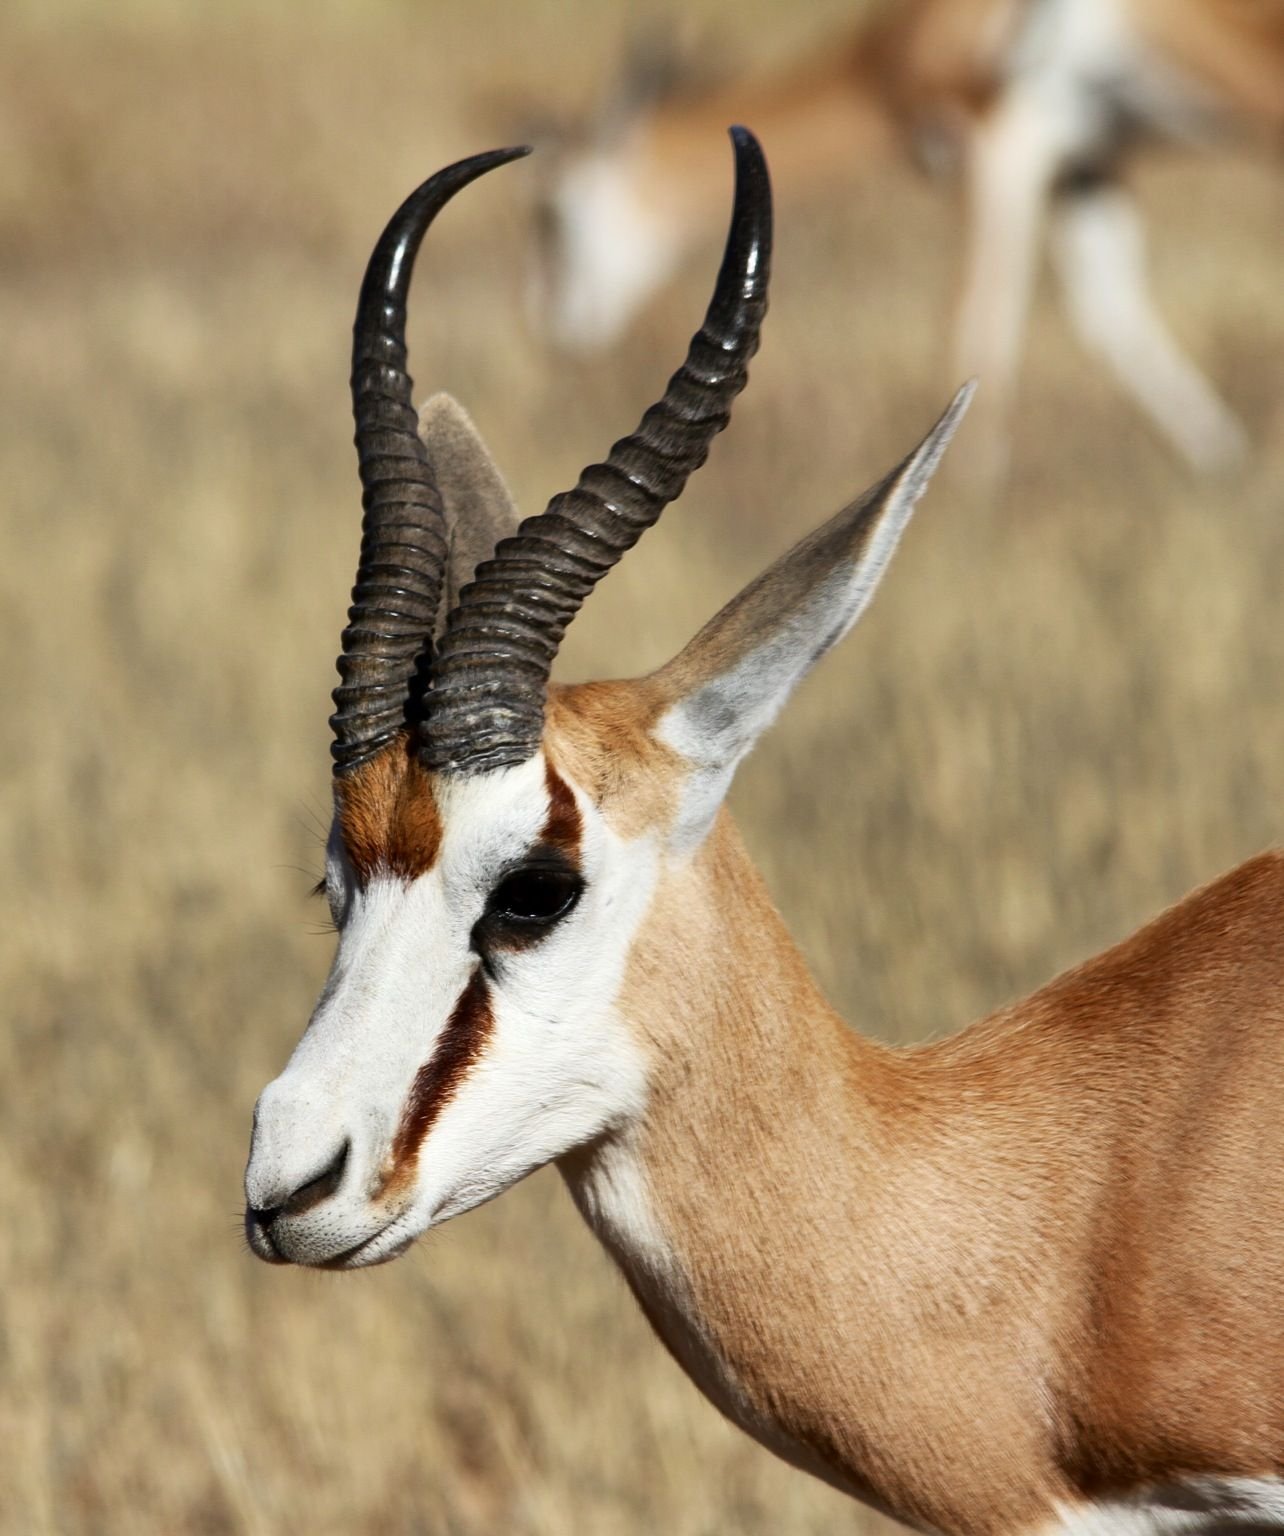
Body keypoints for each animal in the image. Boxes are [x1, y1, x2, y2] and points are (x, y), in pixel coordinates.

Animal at [528, 0, 1284, 475]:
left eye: (551, 215)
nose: (559, 334)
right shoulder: (1087, 165)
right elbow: (1110, 314)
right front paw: (1223, 459)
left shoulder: (1004, 145)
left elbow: (978, 325)